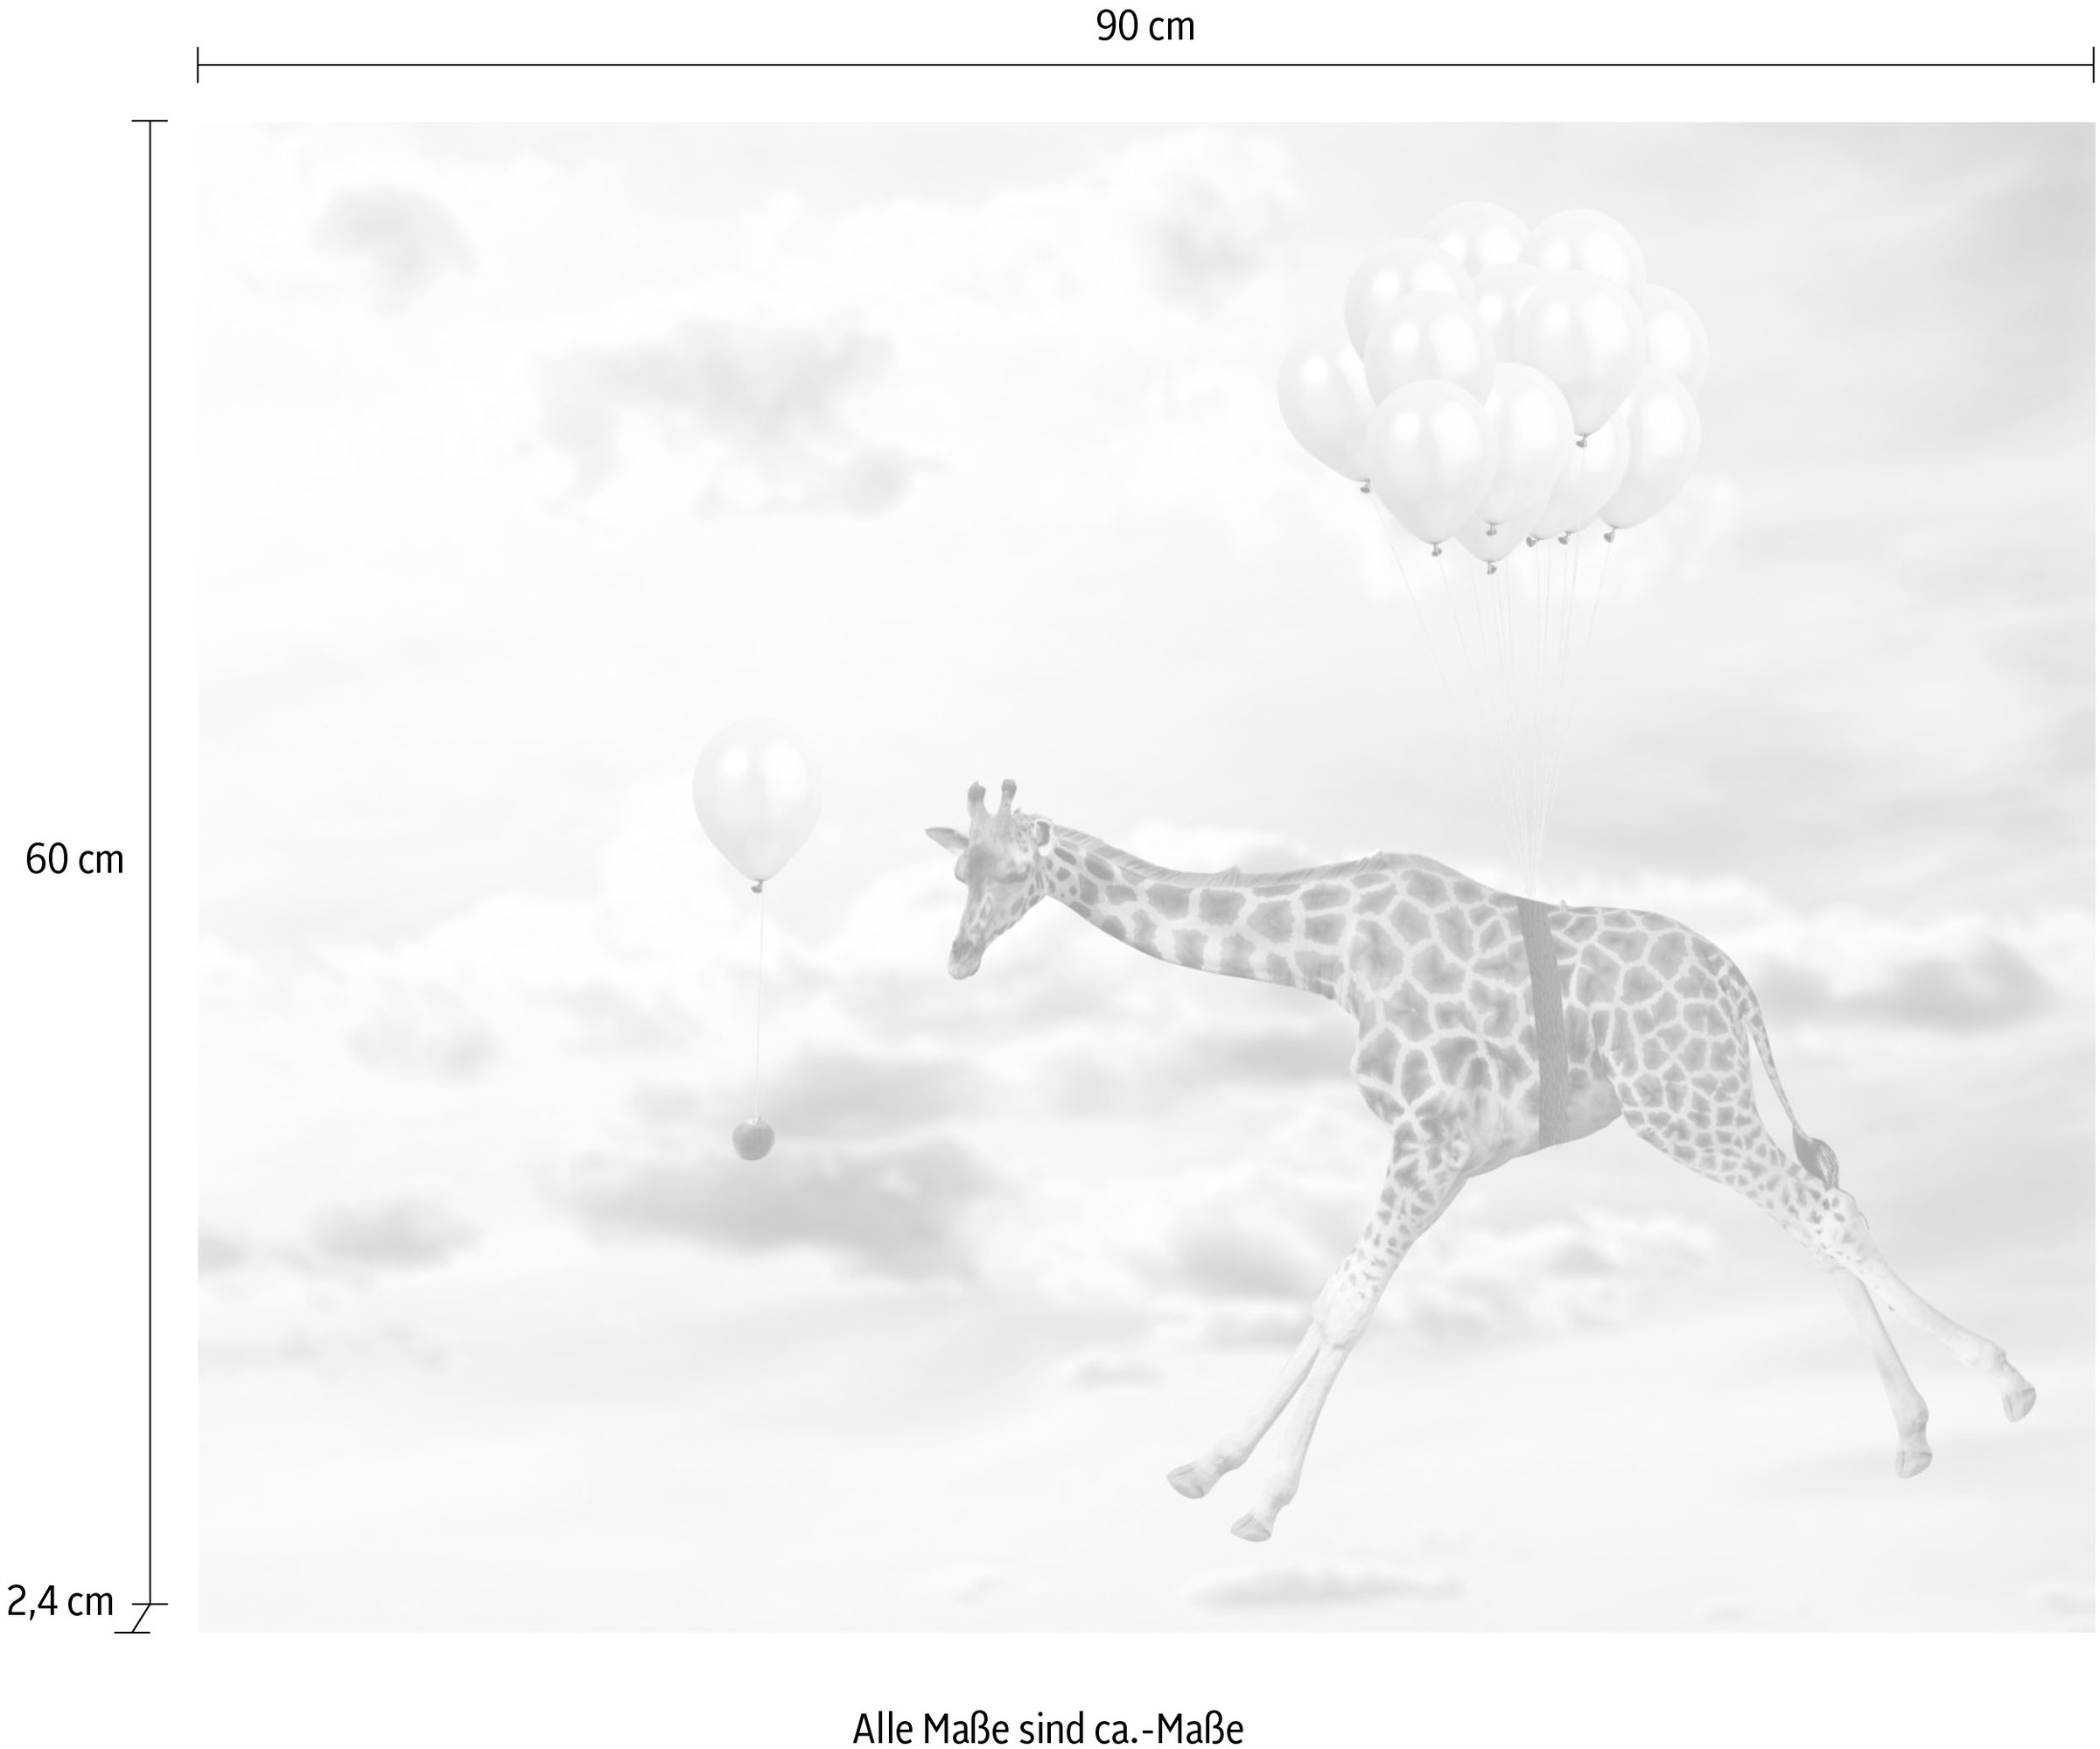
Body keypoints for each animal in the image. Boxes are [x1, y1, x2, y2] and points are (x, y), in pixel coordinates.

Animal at [927, 780, 2037, 1542]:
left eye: (1015, 871)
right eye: (958, 870)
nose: (959, 957)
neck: (1330, 955)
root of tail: (1738, 983)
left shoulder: (1427, 1134)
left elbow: (1348, 1304)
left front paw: (1264, 1500)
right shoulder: (1452, 1154)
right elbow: (1334, 1296)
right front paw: (1209, 1466)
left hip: (1684, 1101)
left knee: (1829, 1217)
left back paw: (2008, 1383)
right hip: (1702, 1101)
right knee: (1816, 1217)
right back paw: (1911, 1434)